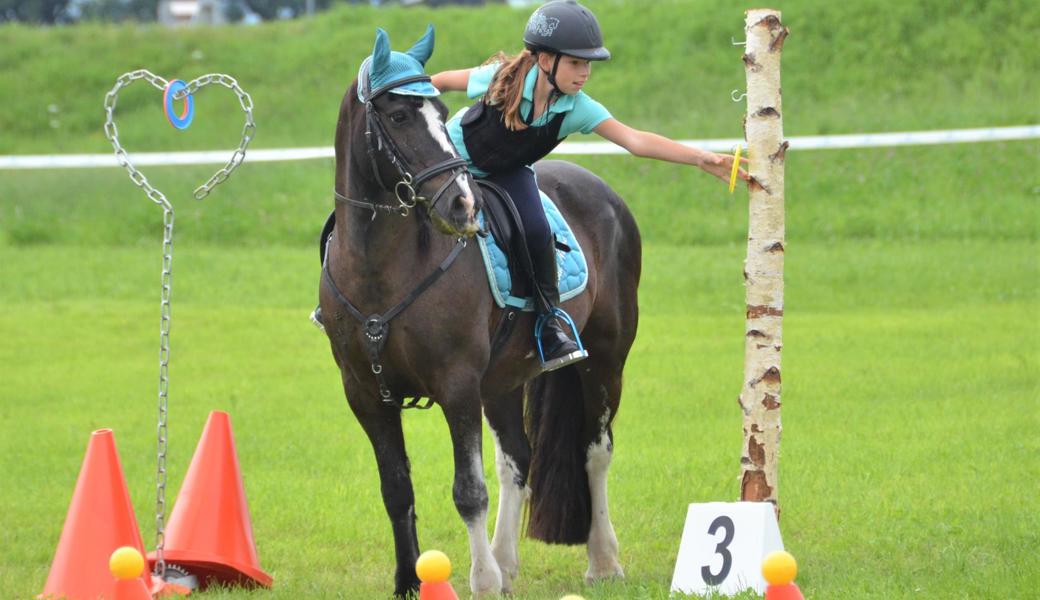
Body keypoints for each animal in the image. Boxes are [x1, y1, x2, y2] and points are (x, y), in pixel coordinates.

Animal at [318, 26, 640, 594]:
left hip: (605, 359)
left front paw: (481, 581)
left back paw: (602, 561)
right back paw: (506, 561)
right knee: (518, 459)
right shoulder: (365, 394)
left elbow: (469, 491)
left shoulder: (457, 385)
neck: (381, 267)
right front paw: (409, 582)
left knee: (595, 452)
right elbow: (396, 489)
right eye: (398, 116)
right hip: (504, 379)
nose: (462, 206)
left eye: (441, 109)